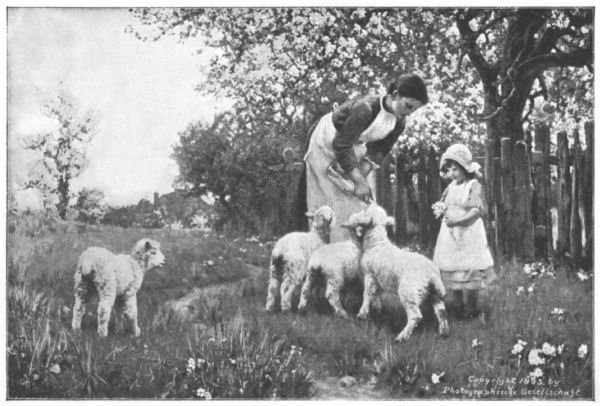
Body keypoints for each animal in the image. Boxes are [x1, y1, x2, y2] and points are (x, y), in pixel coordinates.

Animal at [346, 205, 450, 340]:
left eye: (365, 211)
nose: (367, 205)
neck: (377, 243)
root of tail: (432, 272)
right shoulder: (378, 278)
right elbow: (375, 294)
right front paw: (378, 309)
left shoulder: (369, 275)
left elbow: (367, 294)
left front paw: (362, 314)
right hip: (433, 292)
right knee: (441, 311)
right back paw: (444, 332)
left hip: (409, 292)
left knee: (416, 316)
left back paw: (402, 337)